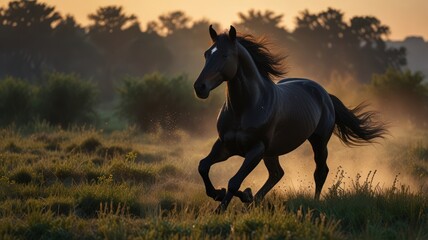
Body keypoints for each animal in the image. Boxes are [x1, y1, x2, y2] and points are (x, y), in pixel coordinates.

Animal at [192, 24, 386, 212]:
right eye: (206, 54)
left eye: (225, 55)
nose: (199, 87)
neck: (246, 108)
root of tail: (325, 94)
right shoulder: (225, 145)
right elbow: (203, 166)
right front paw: (222, 194)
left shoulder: (256, 150)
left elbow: (234, 182)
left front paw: (221, 208)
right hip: (272, 152)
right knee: (277, 174)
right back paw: (252, 200)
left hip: (318, 142)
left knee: (319, 171)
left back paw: (313, 202)